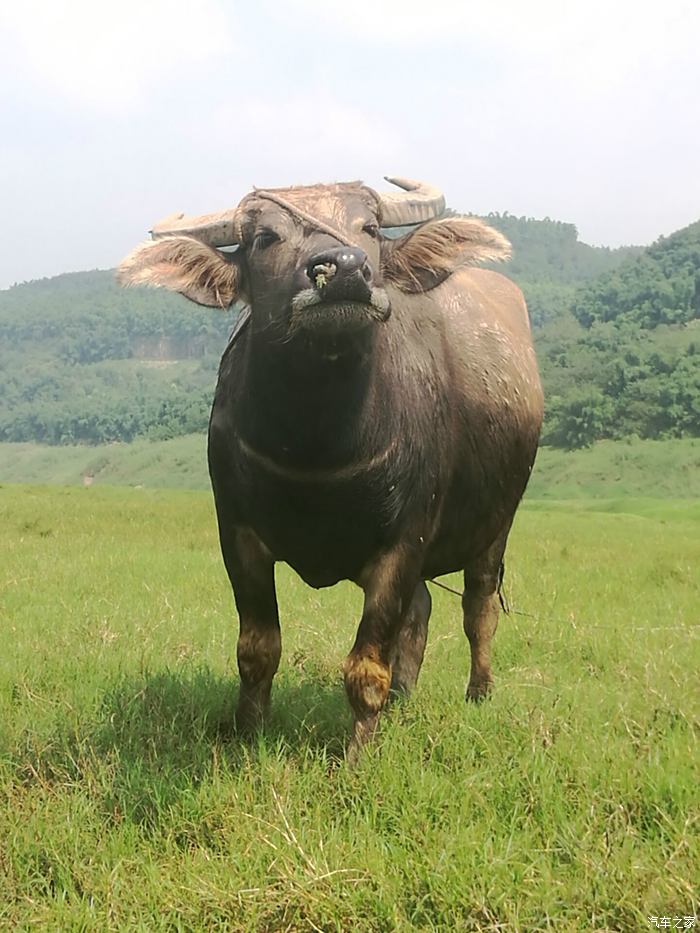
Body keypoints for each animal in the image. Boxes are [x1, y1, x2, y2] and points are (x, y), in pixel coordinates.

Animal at [117, 178, 544, 760]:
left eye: (370, 228)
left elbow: (366, 666)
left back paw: (478, 694)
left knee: (478, 609)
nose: (342, 269)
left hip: (496, 525)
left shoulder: (403, 543)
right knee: (421, 610)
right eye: (264, 237)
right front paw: (248, 733)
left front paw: (358, 753)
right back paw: (404, 697)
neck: (319, 447)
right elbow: (257, 649)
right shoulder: (238, 536)